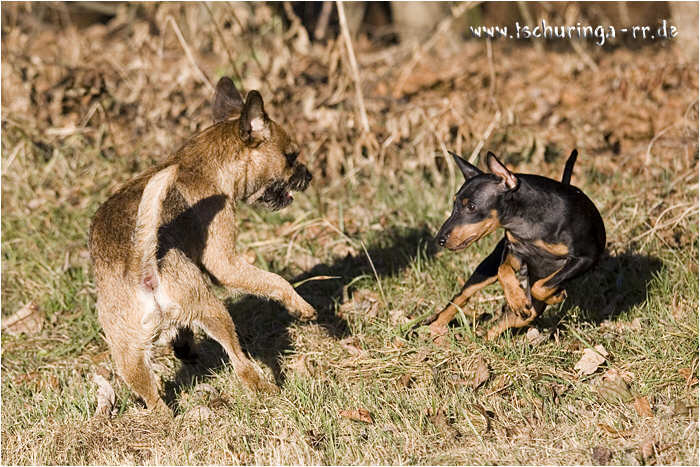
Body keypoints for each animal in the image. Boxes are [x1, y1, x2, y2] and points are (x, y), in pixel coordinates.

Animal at [89, 77, 316, 413]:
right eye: (291, 157)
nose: (308, 176)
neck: (206, 165)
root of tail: (140, 265)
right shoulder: (224, 263)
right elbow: (277, 281)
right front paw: (301, 306)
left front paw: (184, 349)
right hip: (214, 311)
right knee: (242, 365)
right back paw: (268, 389)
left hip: (128, 354)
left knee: (154, 401)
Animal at [429, 149, 605, 341]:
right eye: (454, 203)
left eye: (472, 206)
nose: (439, 240)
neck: (528, 222)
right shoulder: (514, 251)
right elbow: (503, 271)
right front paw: (517, 298)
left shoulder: (585, 258)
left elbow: (540, 287)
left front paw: (554, 296)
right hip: (488, 268)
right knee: (463, 295)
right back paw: (434, 328)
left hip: (532, 308)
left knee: (512, 319)